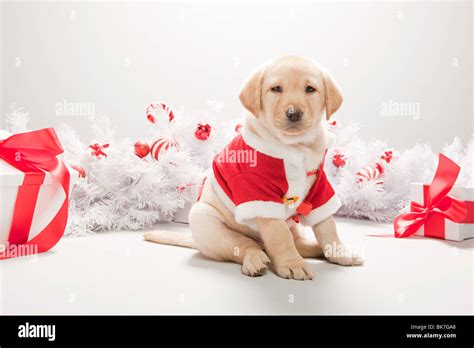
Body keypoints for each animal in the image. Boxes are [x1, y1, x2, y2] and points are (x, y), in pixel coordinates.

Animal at [144, 57, 362, 280]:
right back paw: (256, 259)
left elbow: (328, 227)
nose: (294, 113)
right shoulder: (257, 192)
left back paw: (317, 249)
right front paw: (292, 264)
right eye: (276, 88)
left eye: (310, 89)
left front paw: (339, 252)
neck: (294, 148)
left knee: (298, 243)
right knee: (246, 246)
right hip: (204, 221)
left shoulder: (320, 188)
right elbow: (280, 235)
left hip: (293, 227)